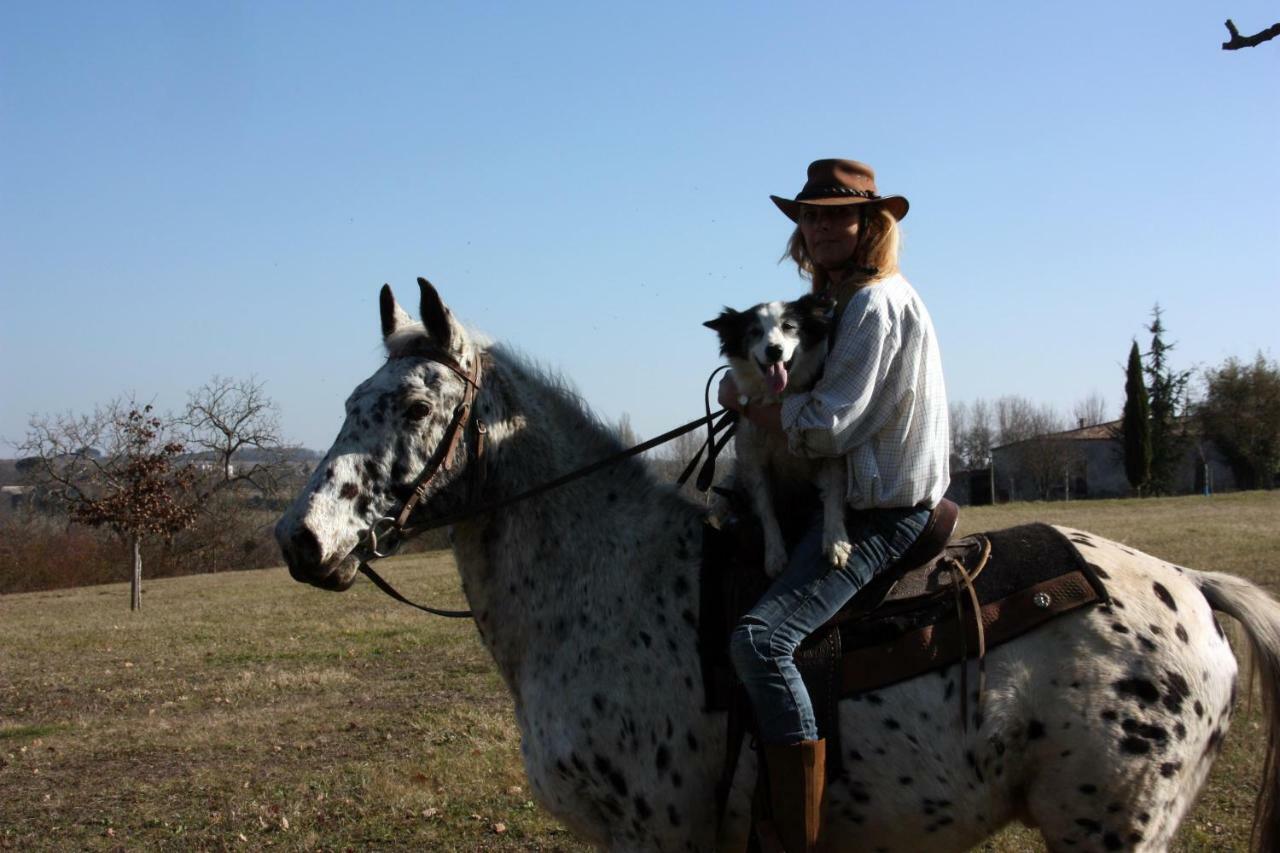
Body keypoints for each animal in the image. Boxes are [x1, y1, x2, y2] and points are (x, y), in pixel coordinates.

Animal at [701, 294, 849, 578]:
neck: (780, 399)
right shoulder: (753, 460)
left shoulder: (831, 450)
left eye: (789, 326)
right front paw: (775, 554)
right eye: (754, 332)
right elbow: (766, 509)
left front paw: (835, 541)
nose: (774, 351)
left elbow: (834, 496)